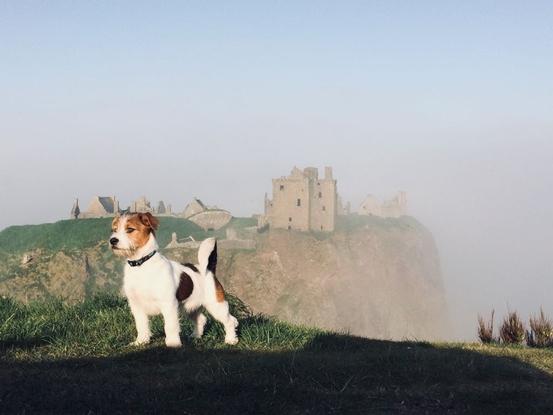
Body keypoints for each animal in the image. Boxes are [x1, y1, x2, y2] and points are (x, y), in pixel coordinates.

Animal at [109, 211, 236, 348]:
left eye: (130, 229)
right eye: (114, 230)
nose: (112, 240)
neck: (141, 264)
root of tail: (208, 270)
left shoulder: (169, 305)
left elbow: (170, 326)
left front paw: (173, 344)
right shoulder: (136, 306)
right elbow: (141, 325)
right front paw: (141, 341)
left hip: (216, 305)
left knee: (231, 320)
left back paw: (231, 339)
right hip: (190, 307)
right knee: (201, 319)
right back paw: (196, 336)